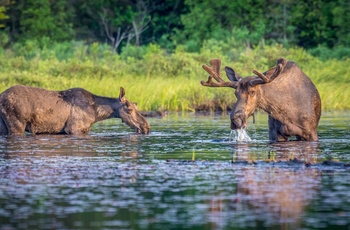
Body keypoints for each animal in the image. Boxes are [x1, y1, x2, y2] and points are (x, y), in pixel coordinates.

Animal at [0, 85, 150, 136]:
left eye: (136, 105)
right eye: (129, 109)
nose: (146, 127)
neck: (97, 113)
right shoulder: (73, 129)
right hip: (16, 125)